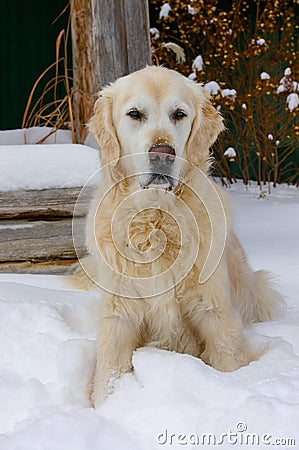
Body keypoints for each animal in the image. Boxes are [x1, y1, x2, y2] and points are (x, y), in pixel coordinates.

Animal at [74, 66, 284, 408]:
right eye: (135, 114)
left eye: (179, 114)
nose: (162, 154)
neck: (157, 219)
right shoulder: (119, 318)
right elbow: (109, 373)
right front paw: (105, 409)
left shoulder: (215, 313)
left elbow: (228, 358)